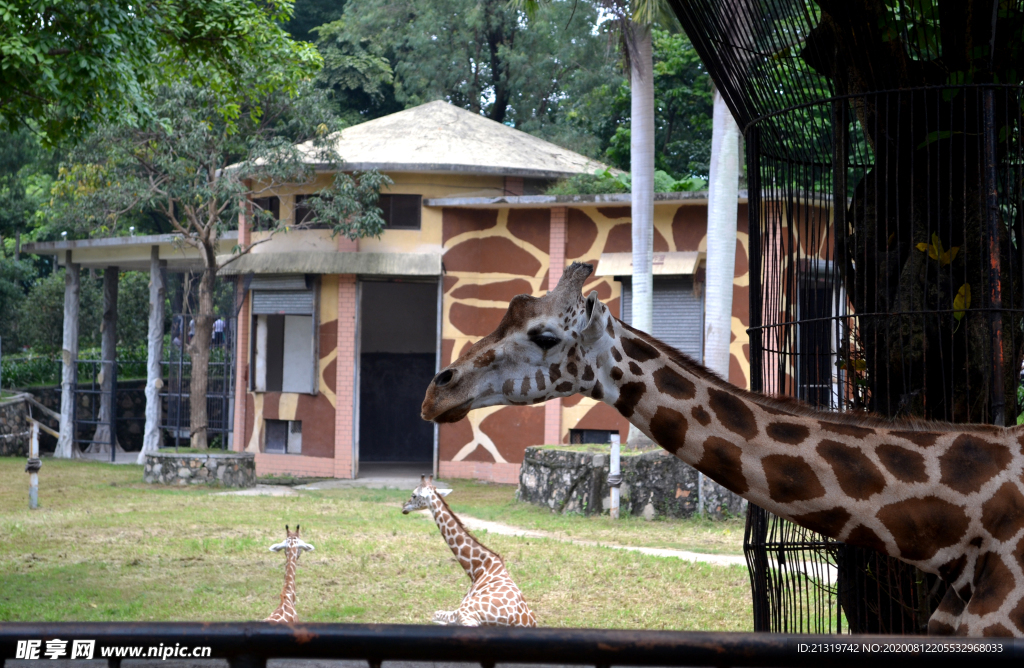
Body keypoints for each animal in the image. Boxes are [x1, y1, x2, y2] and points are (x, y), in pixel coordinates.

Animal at [403, 475, 540, 627]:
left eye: (414, 495)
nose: (404, 507)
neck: (479, 568)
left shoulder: (459, 609)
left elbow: (435, 614)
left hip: (468, 614)